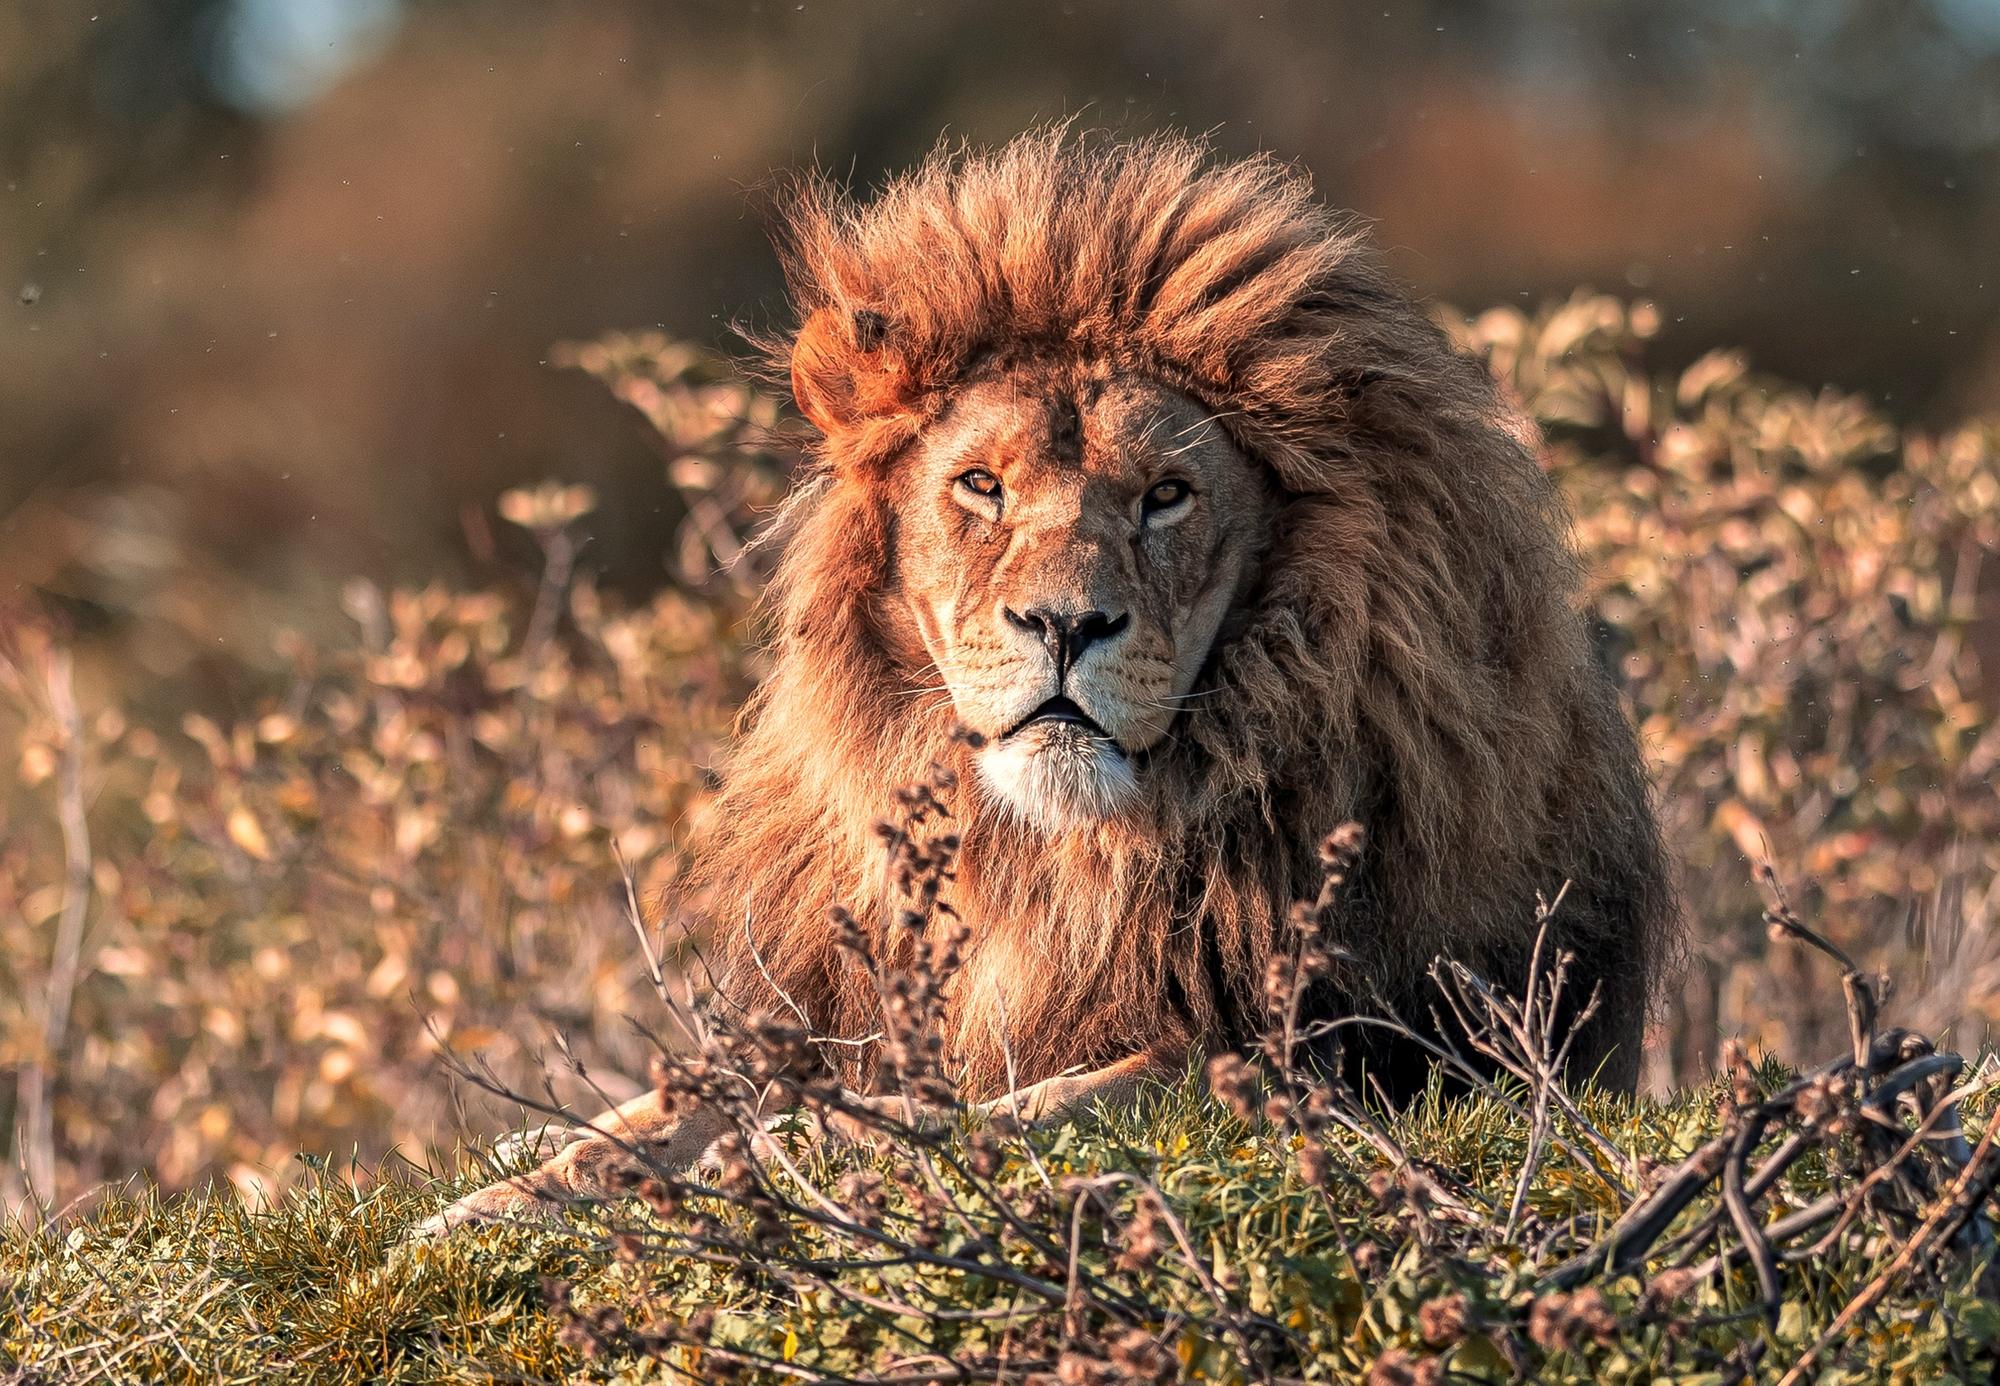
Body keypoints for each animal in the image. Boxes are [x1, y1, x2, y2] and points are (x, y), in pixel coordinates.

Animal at [419, 129, 1676, 1235]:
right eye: (981, 485)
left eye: (1165, 495)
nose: (1063, 624)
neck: (1044, 851)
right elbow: (658, 1118)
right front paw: (490, 1204)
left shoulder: (1343, 1048)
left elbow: (1062, 1098)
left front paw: (829, 1145)